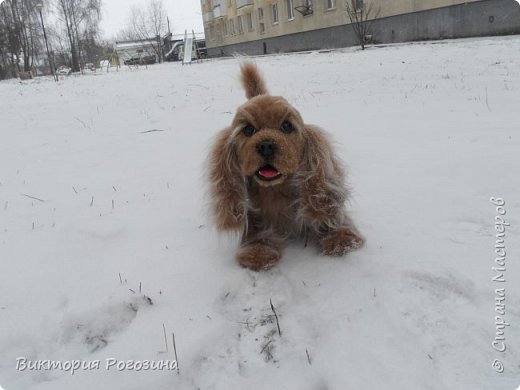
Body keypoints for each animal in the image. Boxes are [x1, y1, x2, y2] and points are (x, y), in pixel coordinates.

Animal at [207, 63, 362, 272]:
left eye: (286, 126)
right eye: (248, 130)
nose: (266, 145)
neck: (276, 191)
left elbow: (330, 217)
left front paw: (341, 237)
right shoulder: (255, 216)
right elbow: (256, 233)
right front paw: (258, 251)